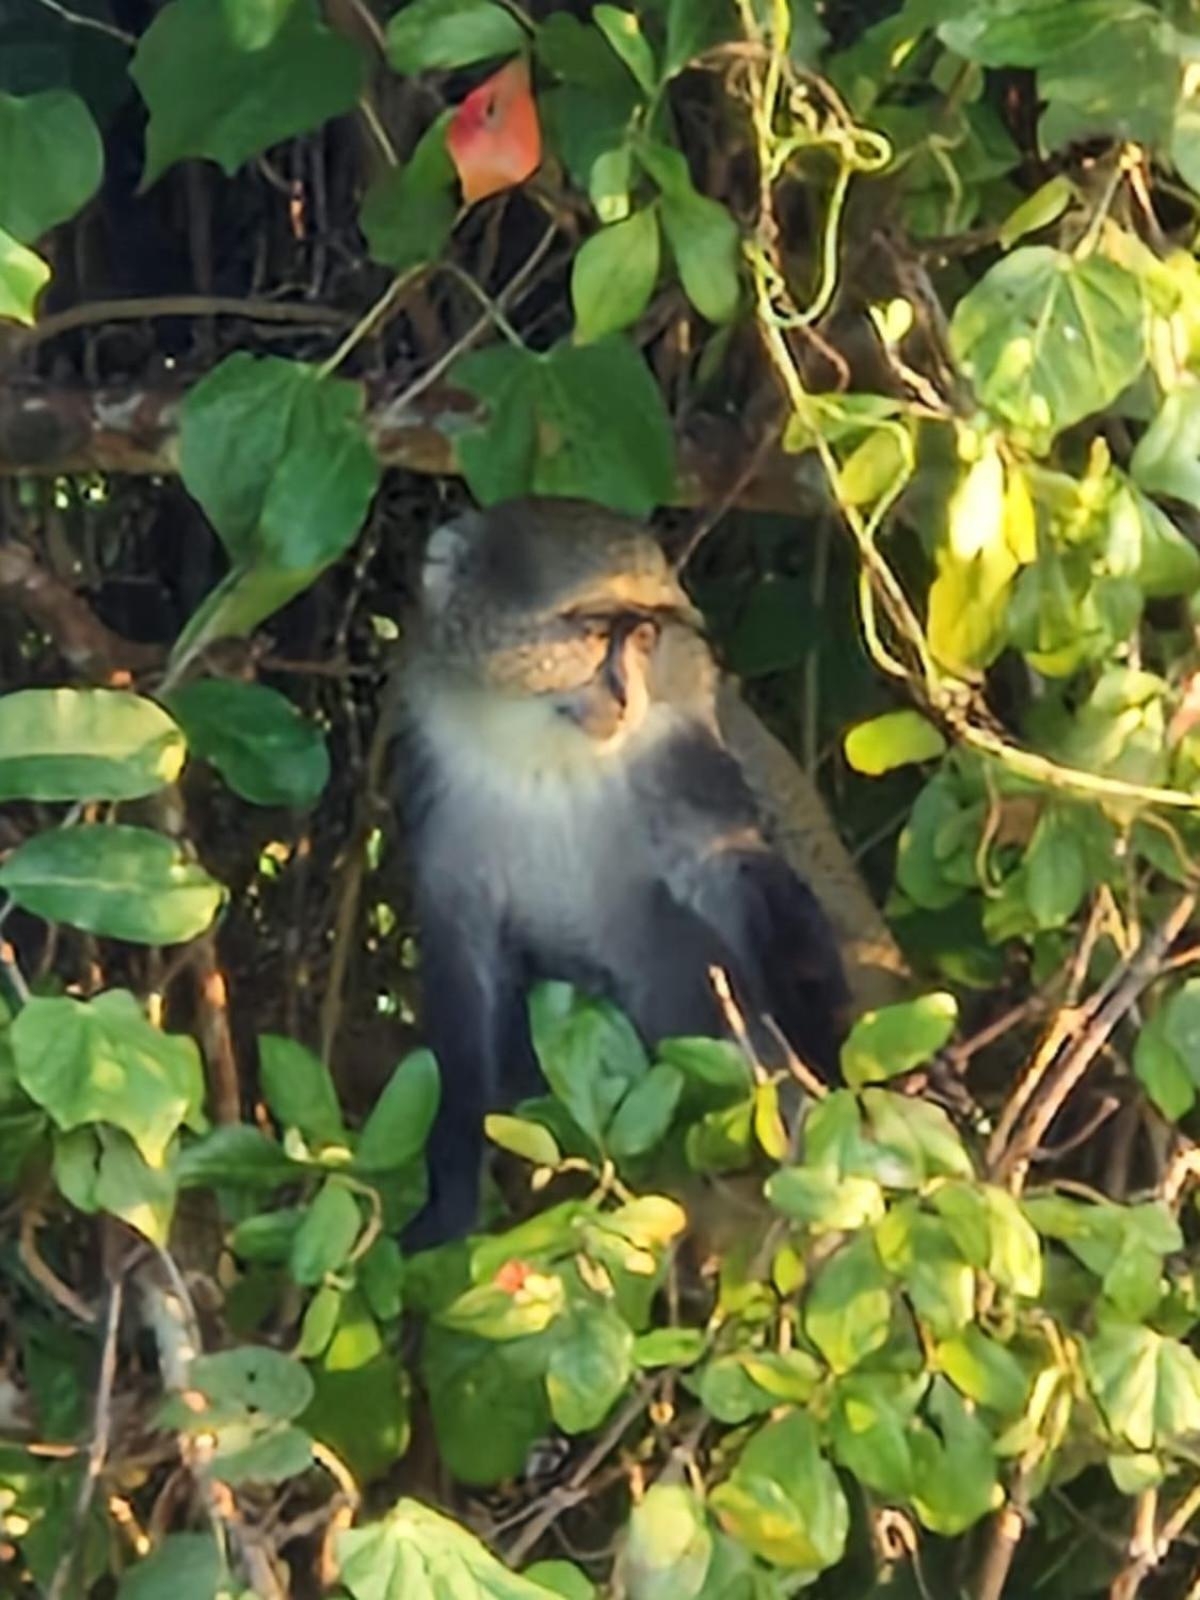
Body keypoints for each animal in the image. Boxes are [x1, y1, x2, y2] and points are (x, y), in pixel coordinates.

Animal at [396, 497, 850, 1245]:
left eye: (640, 637)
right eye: (590, 630)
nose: (626, 691)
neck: (543, 750)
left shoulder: (681, 752)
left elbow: (725, 870)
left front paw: (823, 1047)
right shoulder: (436, 775)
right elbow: (464, 957)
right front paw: (450, 1198)